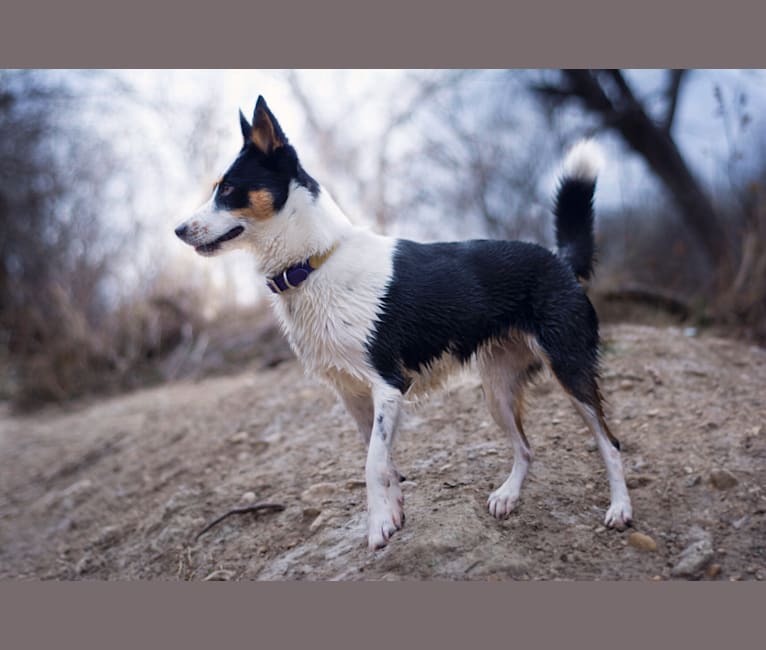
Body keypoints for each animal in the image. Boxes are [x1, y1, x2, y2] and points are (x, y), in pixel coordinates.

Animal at [176, 96, 636, 548]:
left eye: (228, 189)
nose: (178, 230)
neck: (315, 261)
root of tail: (560, 261)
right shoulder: (355, 395)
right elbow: (383, 460)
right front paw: (393, 510)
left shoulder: (389, 384)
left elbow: (372, 464)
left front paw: (379, 524)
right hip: (497, 388)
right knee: (525, 448)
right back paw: (508, 496)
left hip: (569, 367)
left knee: (609, 442)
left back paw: (620, 509)